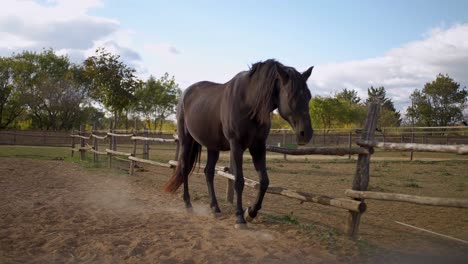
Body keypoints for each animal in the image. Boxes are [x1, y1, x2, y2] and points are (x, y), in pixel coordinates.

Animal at [165, 58, 314, 228]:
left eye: (309, 96)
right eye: (291, 96)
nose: (306, 134)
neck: (248, 102)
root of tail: (185, 94)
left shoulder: (258, 147)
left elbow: (264, 181)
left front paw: (251, 212)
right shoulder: (236, 146)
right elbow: (239, 181)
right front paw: (239, 217)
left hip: (212, 146)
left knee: (208, 172)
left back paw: (215, 208)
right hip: (186, 140)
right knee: (184, 168)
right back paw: (188, 204)